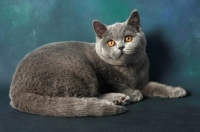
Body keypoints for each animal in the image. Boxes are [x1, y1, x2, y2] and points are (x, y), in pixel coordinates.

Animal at [9, 10, 187, 117]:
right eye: (110, 43)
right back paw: (117, 99)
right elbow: (119, 85)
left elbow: (157, 86)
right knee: (84, 96)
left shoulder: (143, 81)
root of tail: (16, 91)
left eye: (128, 38)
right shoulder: (110, 78)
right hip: (78, 69)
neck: (131, 70)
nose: (121, 47)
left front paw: (176, 91)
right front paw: (133, 93)